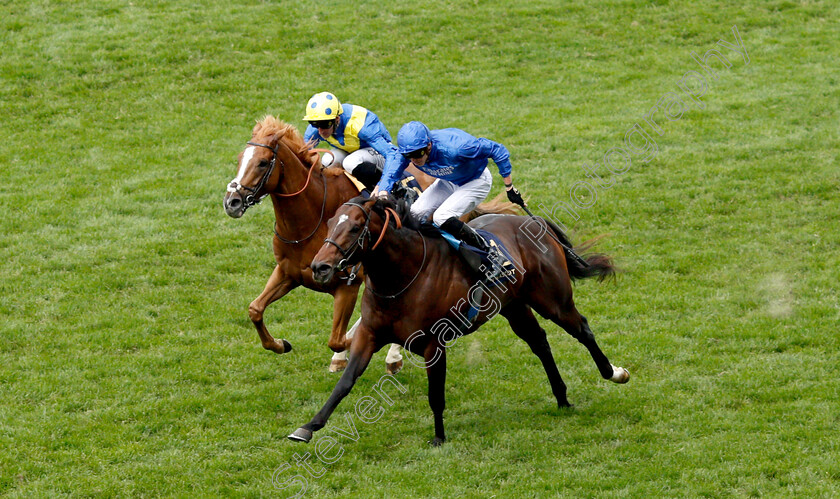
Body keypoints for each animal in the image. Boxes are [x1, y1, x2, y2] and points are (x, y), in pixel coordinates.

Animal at [292, 195, 628, 446]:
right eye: (331, 223)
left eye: (355, 227)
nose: (320, 267)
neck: (401, 276)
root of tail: (534, 222)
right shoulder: (369, 334)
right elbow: (345, 383)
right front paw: (308, 427)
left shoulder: (433, 344)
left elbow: (435, 394)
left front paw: (439, 437)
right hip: (514, 306)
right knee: (540, 342)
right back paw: (561, 397)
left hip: (552, 300)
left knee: (581, 328)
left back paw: (613, 372)